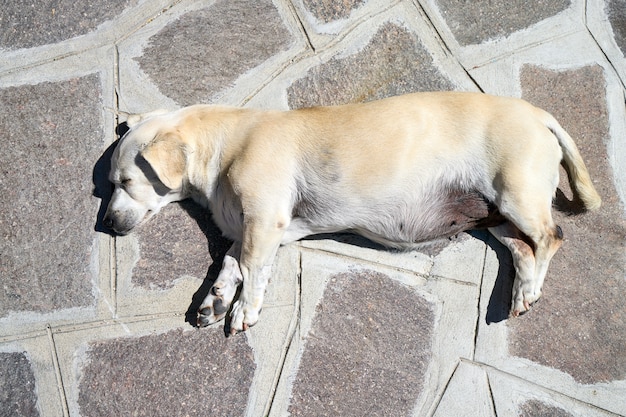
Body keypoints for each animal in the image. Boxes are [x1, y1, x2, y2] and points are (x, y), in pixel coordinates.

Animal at [102, 92, 600, 334]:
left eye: (123, 182)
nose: (105, 222)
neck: (225, 144)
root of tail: (540, 115)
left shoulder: (264, 224)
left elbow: (251, 270)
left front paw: (243, 309)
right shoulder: (263, 231)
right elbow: (230, 262)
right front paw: (218, 297)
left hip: (516, 194)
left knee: (551, 237)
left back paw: (532, 287)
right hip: (495, 218)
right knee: (522, 249)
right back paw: (520, 293)